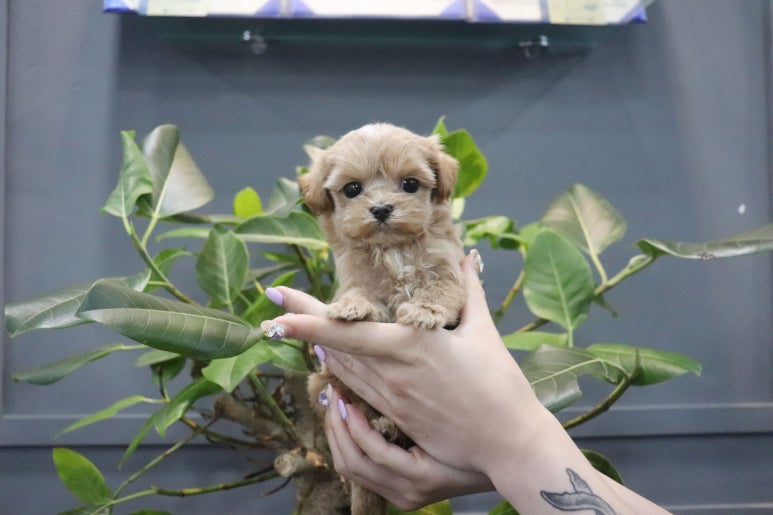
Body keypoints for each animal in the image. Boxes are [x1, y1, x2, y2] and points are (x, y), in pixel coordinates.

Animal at [299, 123, 466, 515]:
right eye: (352, 189)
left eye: (409, 184)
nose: (380, 209)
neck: (394, 248)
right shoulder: (358, 277)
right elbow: (362, 294)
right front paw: (350, 307)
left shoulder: (448, 271)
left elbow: (439, 291)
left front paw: (423, 310)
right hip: (322, 385)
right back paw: (382, 425)